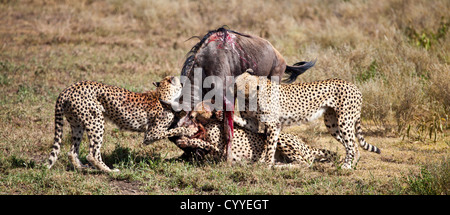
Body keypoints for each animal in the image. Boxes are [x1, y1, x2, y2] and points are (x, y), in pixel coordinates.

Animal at [46, 76, 199, 172]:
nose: (184, 84)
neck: (162, 94)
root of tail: (68, 89)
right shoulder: (150, 135)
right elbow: (173, 130)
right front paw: (189, 130)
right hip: (96, 121)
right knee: (92, 154)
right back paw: (109, 171)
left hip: (77, 124)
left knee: (72, 152)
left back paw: (82, 168)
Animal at [174, 100, 336, 165]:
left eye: (200, 107)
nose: (190, 114)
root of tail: (309, 146)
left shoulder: (221, 150)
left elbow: (203, 143)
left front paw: (185, 140)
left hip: (282, 139)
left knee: (304, 162)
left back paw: (276, 165)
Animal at [234, 69, 382, 169]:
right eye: (238, 85)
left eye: (250, 86)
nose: (238, 93)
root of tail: (353, 85)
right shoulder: (253, 123)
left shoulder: (273, 124)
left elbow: (270, 146)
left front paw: (266, 165)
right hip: (332, 124)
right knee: (352, 145)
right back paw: (349, 163)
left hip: (344, 121)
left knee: (351, 144)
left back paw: (347, 166)